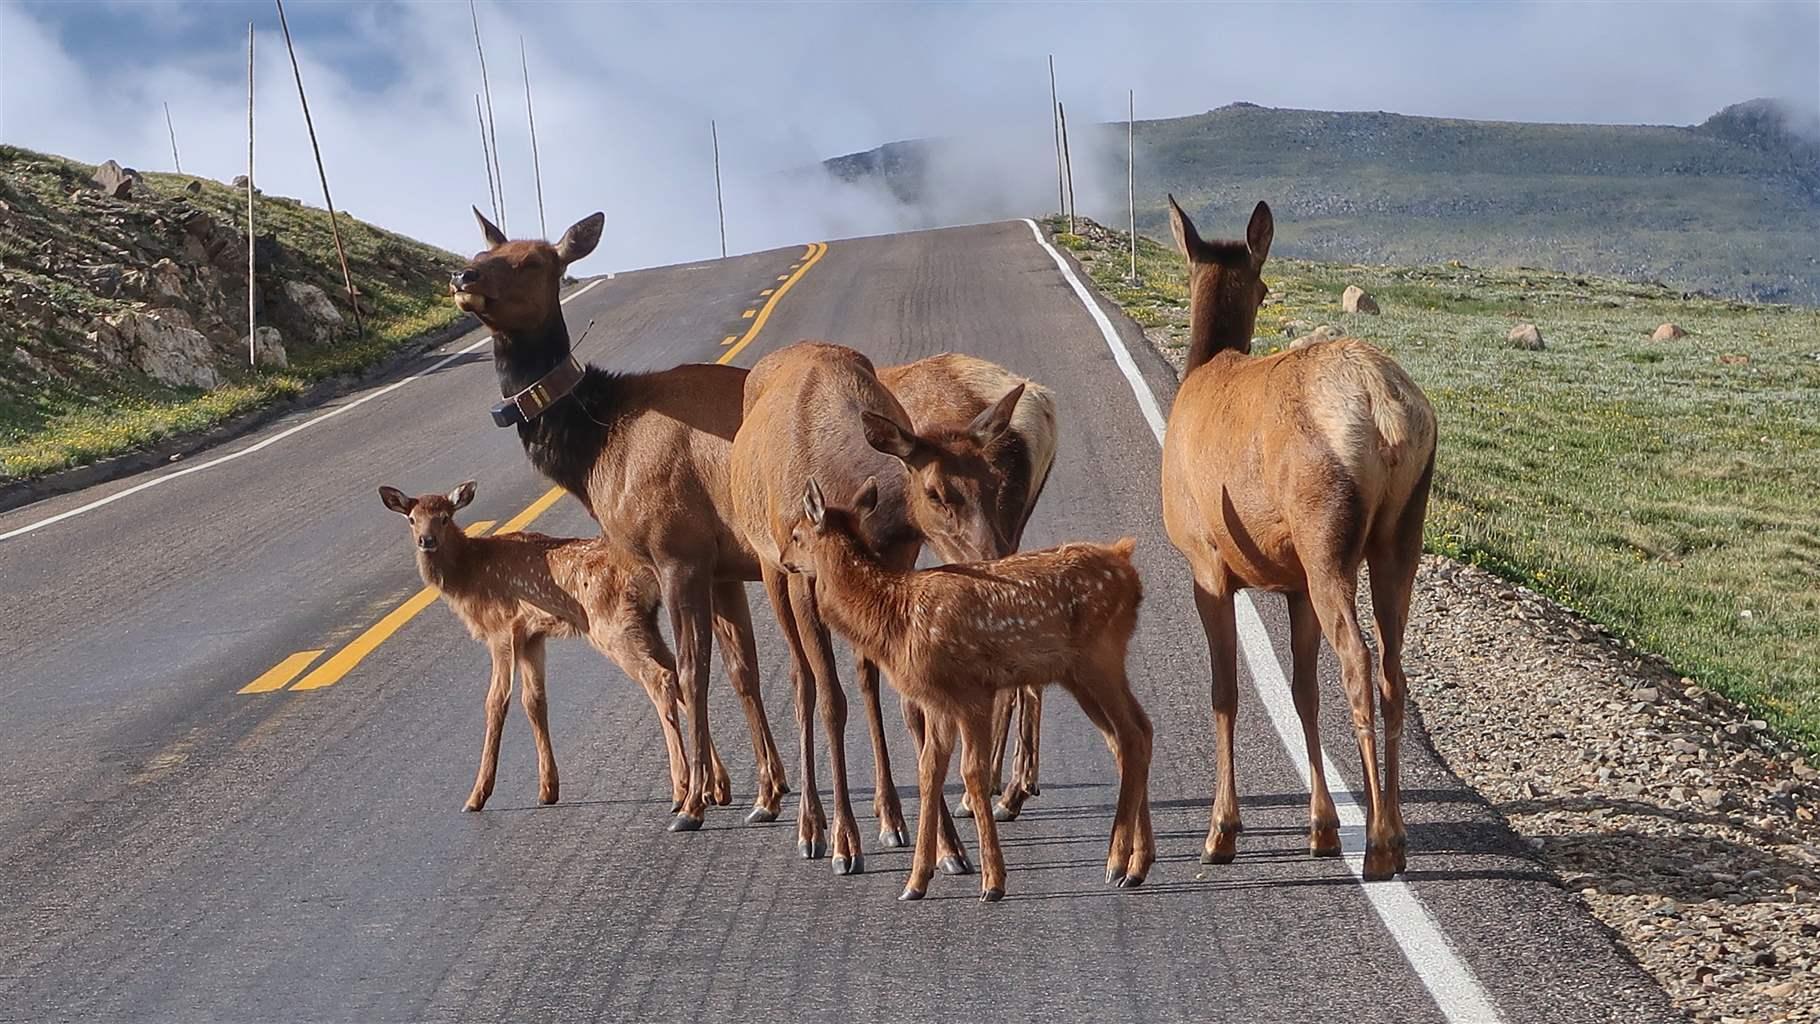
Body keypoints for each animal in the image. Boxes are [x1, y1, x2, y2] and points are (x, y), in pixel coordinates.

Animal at [376, 483, 724, 818]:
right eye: (412, 519)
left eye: (445, 517)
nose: (426, 540)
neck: (469, 572)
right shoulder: (532, 635)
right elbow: (534, 701)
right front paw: (547, 789)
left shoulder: (501, 630)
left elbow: (496, 702)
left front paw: (477, 796)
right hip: (644, 624)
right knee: (681, 673)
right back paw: (715, 787)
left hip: (612, 625)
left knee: (660, 677)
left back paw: (681, 791)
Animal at [451, 208, 786, 833]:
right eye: (482, 252)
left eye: (534, 260)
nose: (463, 277)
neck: (595, 445)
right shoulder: (725, 567)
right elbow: (742, 671)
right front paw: (767, 793)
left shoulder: (678, 553)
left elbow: (691, 672)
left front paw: (693, 802)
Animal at [782, 476, 1150, 902]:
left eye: (796, 534)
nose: (783, 558)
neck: (895, 617)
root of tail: (1126, 560)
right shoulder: (938, 701)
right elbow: (929, 771)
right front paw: (916, 882)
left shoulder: (972, 691)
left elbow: (972, 772)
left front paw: (992, 882)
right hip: (1079, 673)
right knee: (1132, 735)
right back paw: (1136, 865)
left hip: (1098, 658)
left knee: (1133, 734)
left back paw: (1117, 862)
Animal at [1157, 198, 1441, 880]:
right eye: (1262, 287)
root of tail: (1386, 413)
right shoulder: (1291, 584)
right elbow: (1301, 692)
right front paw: (1321, 826)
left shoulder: (1206, 562)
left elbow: (1225, 692)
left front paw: (1221, 831)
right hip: (1399, 536)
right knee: (1393, 670)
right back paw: (1394, 832)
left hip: (1324, 535)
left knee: (1359, 662)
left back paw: (1380, 843)